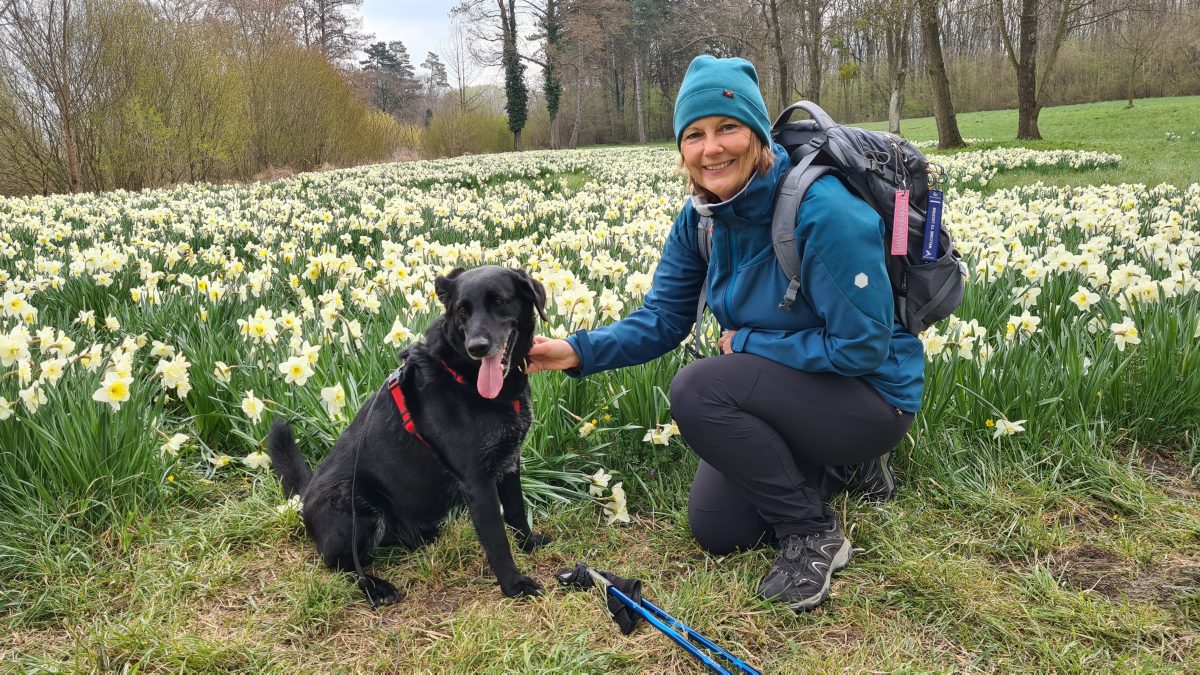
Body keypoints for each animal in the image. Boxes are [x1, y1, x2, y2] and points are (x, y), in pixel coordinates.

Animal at [266, 265, 549, 600]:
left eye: (500, 301)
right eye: (462, 310)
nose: (477, 347)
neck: (462, 374)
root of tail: (305, 498)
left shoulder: (509, 461)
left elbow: (516, 511)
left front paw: (529, 544)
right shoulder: (477, 481)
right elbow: (496, 538)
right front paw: (513, 584)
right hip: (355, 501)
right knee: (340, 564)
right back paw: (375, 587)